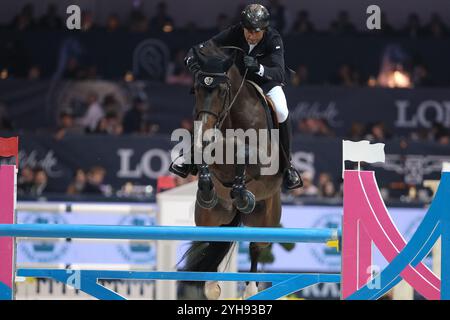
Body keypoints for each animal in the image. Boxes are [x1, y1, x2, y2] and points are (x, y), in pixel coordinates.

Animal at [178, 42, 286, 300]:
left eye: (221, 91)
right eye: (197, 89)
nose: (203, 133)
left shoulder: (262, 161)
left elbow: (244, 155)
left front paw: (242, 193)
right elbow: (205, 155)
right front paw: (207, 187)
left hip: (265, 220)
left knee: (256, 247)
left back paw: (250, 289)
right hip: (209, 218)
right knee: (213, 240)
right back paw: (210, 285)